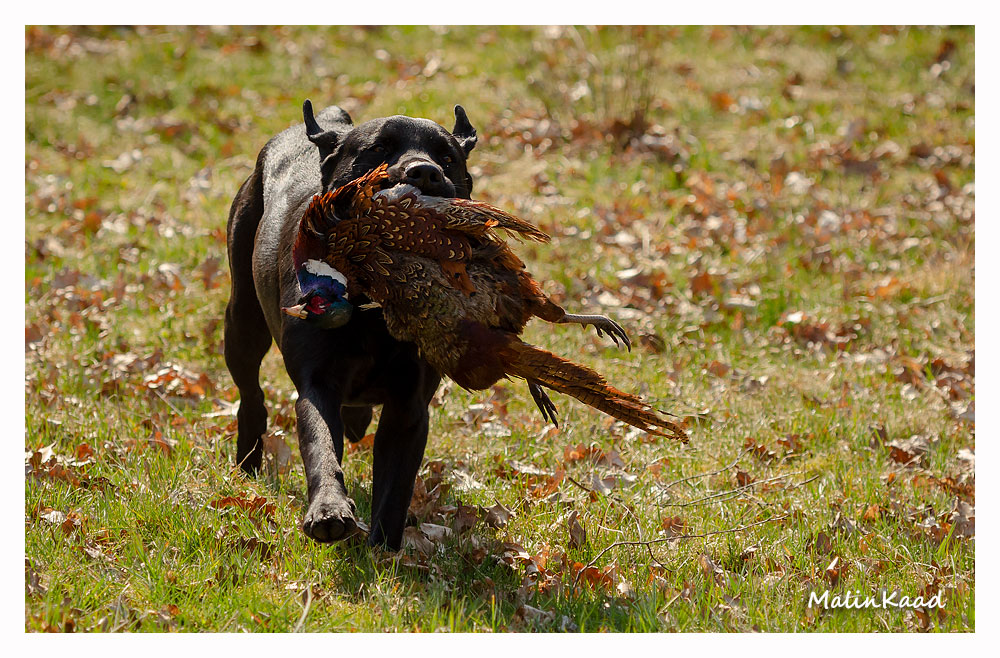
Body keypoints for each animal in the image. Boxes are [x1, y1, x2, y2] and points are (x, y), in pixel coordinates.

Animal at [224, 100, 478, 550]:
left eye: (448, 157)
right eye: (378, 150)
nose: (424, 172)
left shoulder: (409, 406)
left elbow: (395, 486)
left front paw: (384, 551)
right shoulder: (317, 384)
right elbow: (322, 448)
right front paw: (329, 512)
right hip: (243, 323)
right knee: (252, 396)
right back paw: (248, 463)